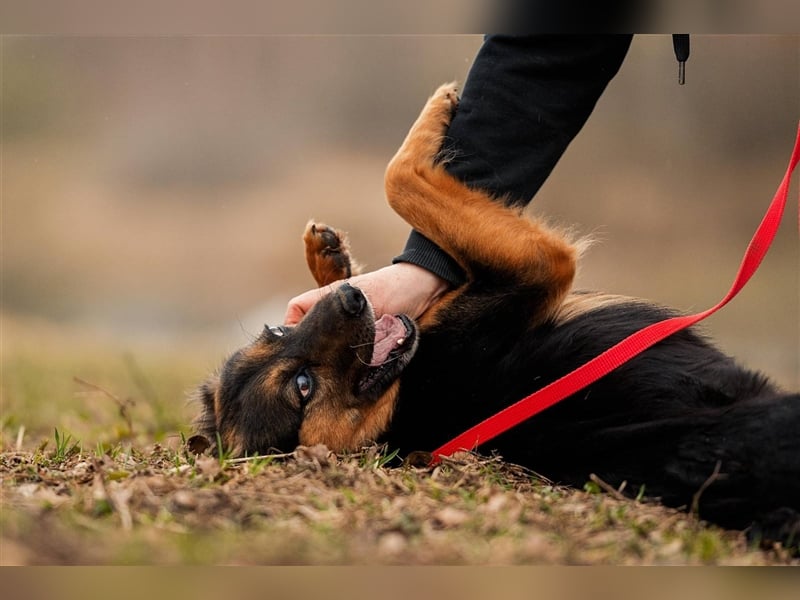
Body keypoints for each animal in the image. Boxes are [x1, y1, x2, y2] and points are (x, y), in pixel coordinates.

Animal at [195, 83, 800, 548]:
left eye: (277, 330)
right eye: (302, 387)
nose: (351, 301)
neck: (404, 407)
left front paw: (330, 260)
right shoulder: (534, 270)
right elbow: (399, 179)